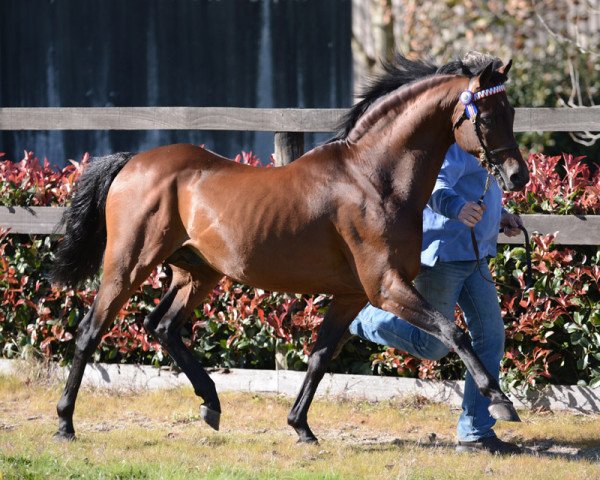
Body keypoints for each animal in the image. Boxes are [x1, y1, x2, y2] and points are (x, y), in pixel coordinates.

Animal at [51, 55, 528, 442]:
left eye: (511, 110)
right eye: (487, 116)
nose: (518, 175)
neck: (373, 178)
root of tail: (130, 162)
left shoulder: (351, 295)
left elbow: (319, 357)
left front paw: (301, 426)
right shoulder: (385, 286)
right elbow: (454, 332)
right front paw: (501, 400)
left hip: (199, 272)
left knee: (163, 326)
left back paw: (211, 404)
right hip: (128, 264)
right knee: (91, 330)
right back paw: (65, 423)